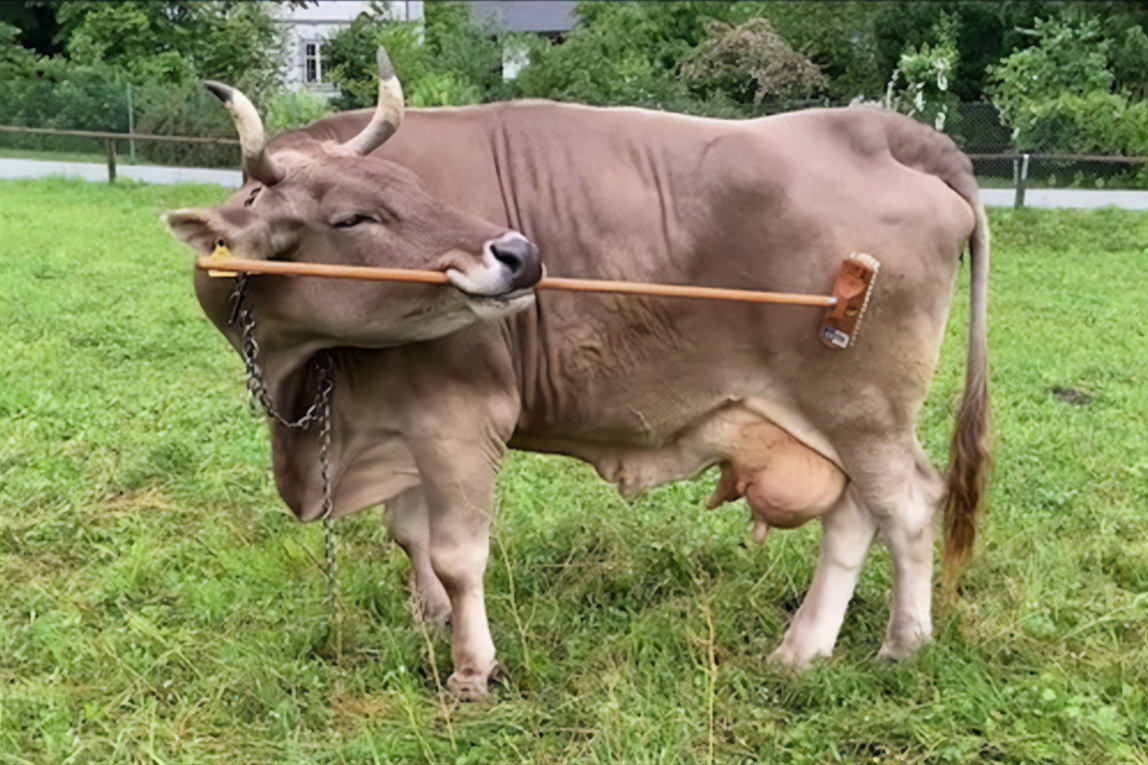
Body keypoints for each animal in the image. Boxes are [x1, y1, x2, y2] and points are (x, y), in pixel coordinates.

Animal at [166, 49, 989, 700]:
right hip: (832, 420)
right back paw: (802, 648)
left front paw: (472, 668)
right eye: (352, 217)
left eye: (417, 188)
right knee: (853, 512)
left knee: (906, 504)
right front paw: (428, 619)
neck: (305, 385)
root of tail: (882, 131)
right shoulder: (396, 421)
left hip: (864, 409)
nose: (521, 253)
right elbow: (407, 532)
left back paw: (903, 644)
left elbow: (458, 554)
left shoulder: (460, 416)